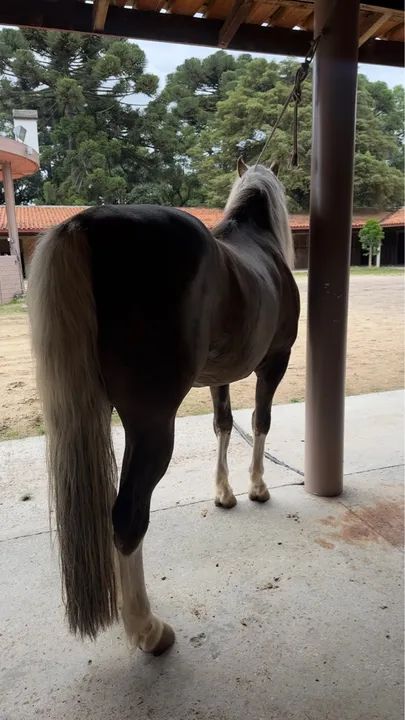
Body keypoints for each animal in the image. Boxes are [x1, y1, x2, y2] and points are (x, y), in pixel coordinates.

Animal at [28, 158, 300, 656]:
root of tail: (87, 224)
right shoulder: (275, 362)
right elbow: (261, 422)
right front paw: (257, 487)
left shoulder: (219, 376)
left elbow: (224, 425)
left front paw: (224, 493)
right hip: (151, 425)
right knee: (127, 517)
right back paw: (148, 629)